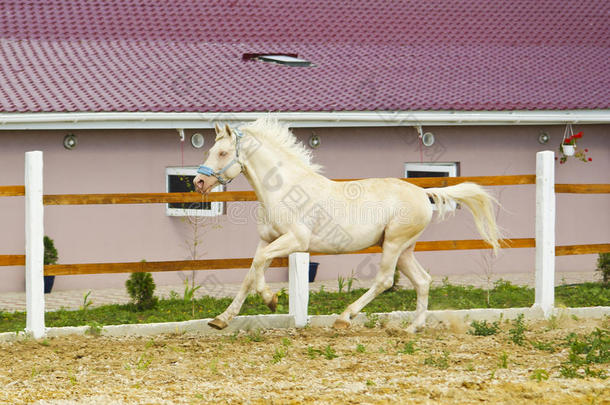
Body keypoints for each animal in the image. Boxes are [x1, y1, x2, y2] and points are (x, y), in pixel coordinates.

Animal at [195, 117, 498, 332]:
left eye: (223, 153)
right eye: (211, 150)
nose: (198, 182)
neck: (286, 190)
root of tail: (422, 193)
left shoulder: (295, 241)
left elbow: (258, 266)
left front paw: (271, 299)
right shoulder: (268, 240)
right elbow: (250, 273)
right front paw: (221, 319)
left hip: (394, 243)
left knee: (385, 280)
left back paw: (344, 318)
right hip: (404, 249)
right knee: (422, 280)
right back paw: (412, 328)